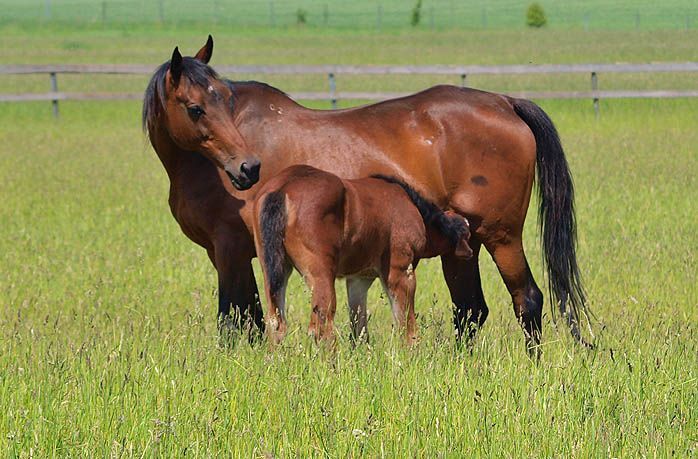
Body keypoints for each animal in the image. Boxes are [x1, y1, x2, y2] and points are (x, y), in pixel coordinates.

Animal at [250, 164, 474, 344]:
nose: (470, 253)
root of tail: (283, 188)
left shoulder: (359, 279)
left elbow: (359, 327)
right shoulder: (401, 271)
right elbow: (406, 325)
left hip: (274, 269)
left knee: (276, 322)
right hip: (320, 273)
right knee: (321, 326)